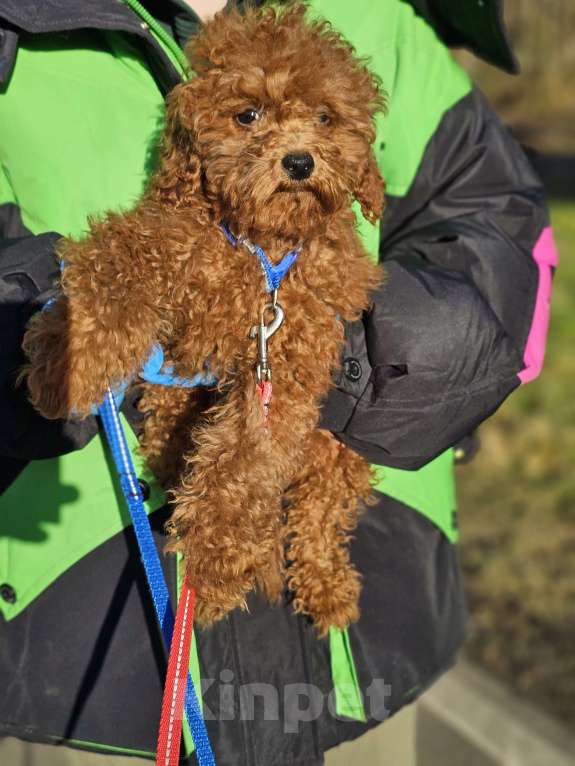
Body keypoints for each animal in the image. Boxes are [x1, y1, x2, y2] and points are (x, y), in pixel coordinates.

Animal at [22, 1, 384, 636]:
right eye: (247, 115)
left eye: (325, 117)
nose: (299, 161)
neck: (260, 250)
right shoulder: (173, 236)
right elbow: (119, 258)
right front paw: (70, 355)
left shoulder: (285, 361)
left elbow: (241, 465)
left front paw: (213, 567)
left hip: (331, 453)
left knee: (317, 515)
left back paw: (327, 586)